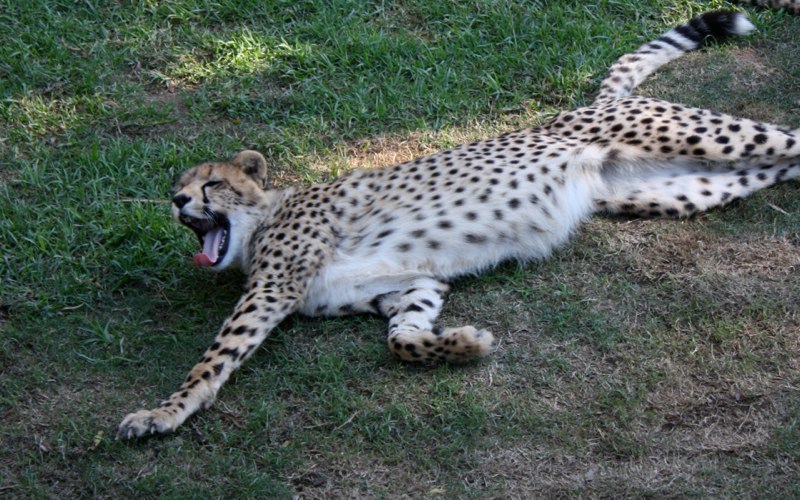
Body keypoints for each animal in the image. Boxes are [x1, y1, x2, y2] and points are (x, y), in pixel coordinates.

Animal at [118, 8, 800, 439]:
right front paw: (463, 345)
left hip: (695, 137)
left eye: (209, 184)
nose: (177, 202)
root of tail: (586, 106)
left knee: (788, 137)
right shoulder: (410, 285)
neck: (264, 218)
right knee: (777, 166)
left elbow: (213, 359)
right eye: (178, 189)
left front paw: (162, 414)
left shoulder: (271, 290)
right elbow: (402, 339)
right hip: (671, 192)